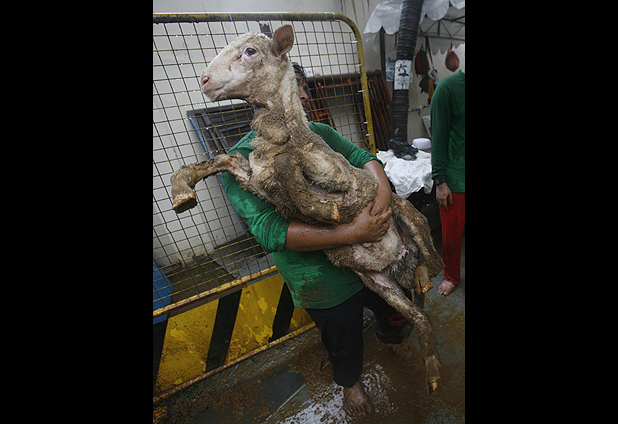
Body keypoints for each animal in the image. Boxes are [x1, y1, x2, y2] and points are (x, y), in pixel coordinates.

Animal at [170, 25, 445, 393]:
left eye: (251, 51)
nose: (204, 79)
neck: (283, 135)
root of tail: (401, 257)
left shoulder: (337, 172)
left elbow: (291, 164)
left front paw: (326, 212)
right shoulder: (258, 180)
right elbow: (221, 159)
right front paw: (181, 194)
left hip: (409, 218)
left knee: (435, 260)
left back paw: (424, 277)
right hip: (379, 283)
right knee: (419, 315)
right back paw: (432, 370)